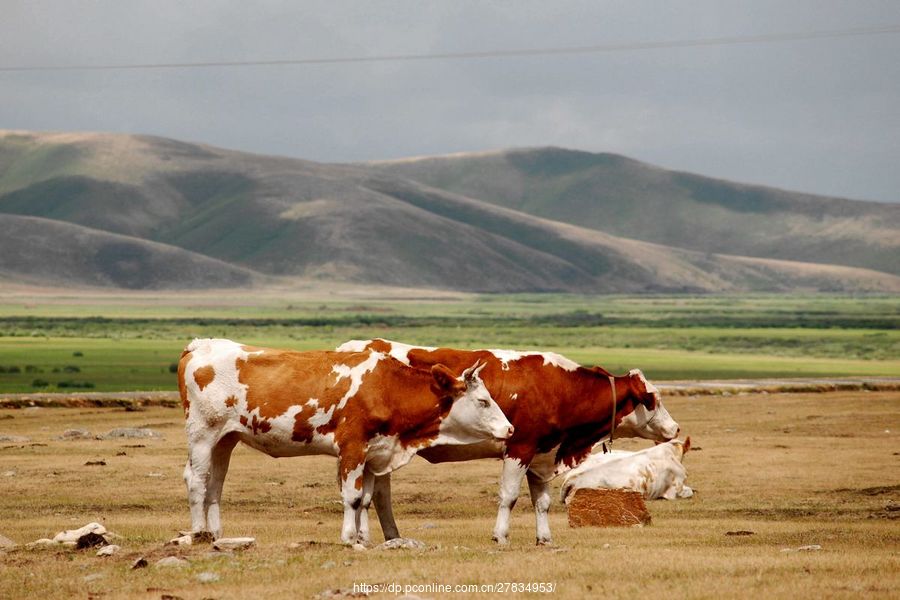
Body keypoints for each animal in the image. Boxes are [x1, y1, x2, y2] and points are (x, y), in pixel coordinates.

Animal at [177, 340, 512, 548]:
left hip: (225, 439)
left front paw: (363, 538)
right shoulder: (352, 448)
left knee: (215, 484)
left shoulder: (374, 453)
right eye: (483, 401)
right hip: (202, 434)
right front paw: (349, 538)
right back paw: (199, 533)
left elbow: (365, 499)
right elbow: (352, 497)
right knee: (197, 480)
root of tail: (200, 345)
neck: (386, 388)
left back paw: (216, 534)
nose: (509, 428)